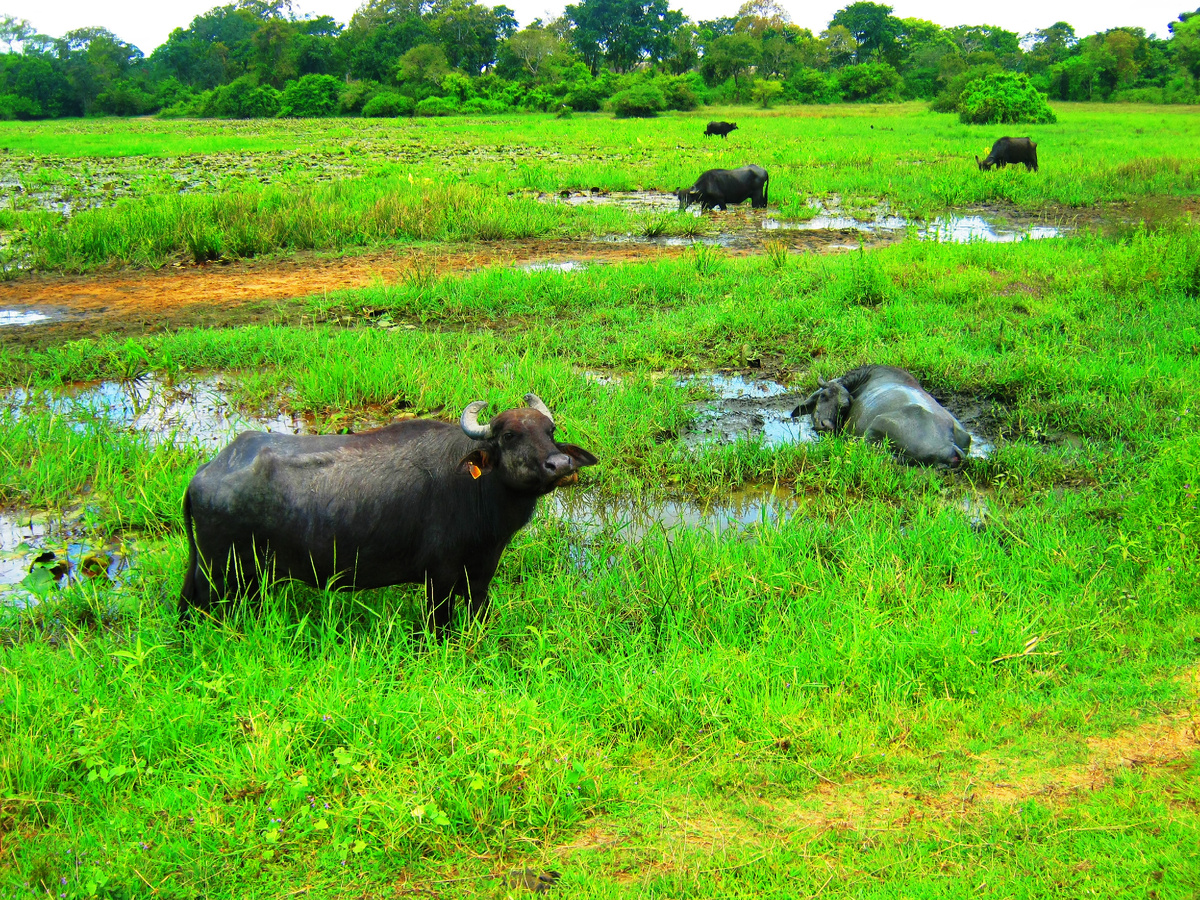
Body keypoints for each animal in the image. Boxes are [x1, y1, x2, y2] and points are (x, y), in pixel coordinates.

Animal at [179, 394, 598, 635]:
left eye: (550, 430)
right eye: (509, 436)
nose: (561, 465)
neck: (477, 491)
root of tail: (205, 473)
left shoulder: (480, 576)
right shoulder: (439, 580)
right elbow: (439, 627)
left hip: (242, 577)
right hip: (220, 576)